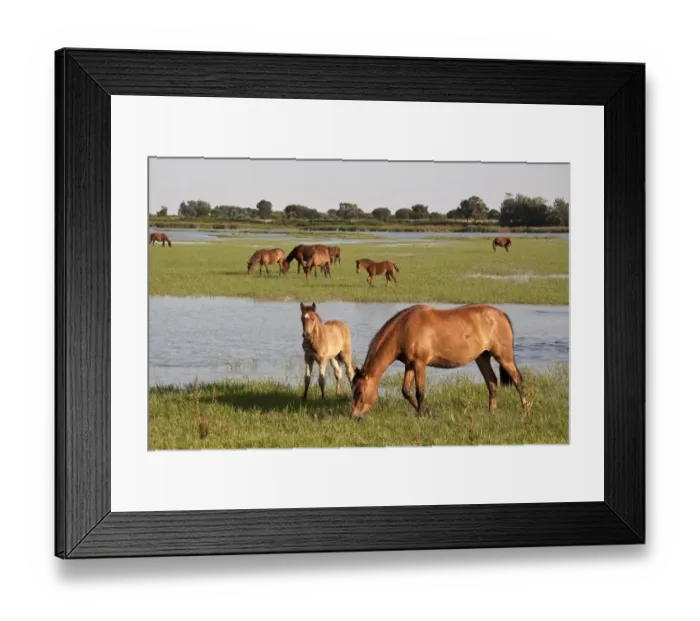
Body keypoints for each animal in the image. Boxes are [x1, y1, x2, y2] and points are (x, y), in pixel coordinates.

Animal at [350, 303, 529, 420]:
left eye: (359, 392)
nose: (354, 416)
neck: (404, 328)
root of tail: (501, 315)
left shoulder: (420, 363)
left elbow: (420, 392)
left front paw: (423, 415)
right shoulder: (410, 364)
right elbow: (406, 391)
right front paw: (427, 412)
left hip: (504, 357)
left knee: (518, 380)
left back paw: (525, 410)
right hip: (482, 358)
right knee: (492, 382)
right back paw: (492, 412)